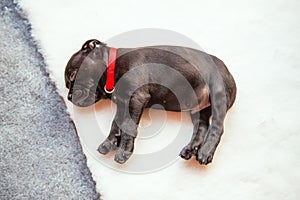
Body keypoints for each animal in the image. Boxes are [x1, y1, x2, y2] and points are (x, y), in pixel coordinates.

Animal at [65, 38, 237, 164]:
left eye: (73, 76)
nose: (68, 97)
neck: (112, 66)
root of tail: (229, 72)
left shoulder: (136, 98)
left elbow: (128, 126)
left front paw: (124, 151)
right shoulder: (123, 104)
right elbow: (116, 124)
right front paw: (109, 143)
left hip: (218, 94)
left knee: (217, 127)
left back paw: (205, 152)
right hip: (198, 110)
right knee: (201, 127)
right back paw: (190, 149)